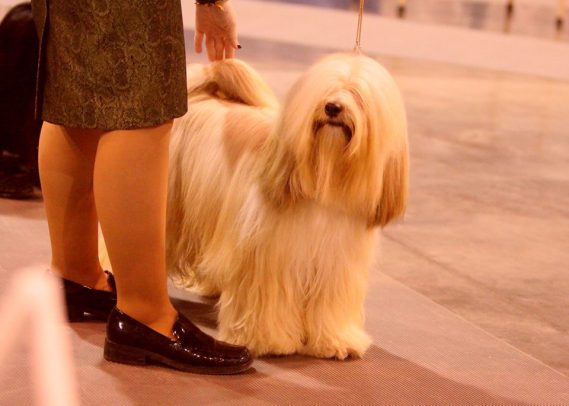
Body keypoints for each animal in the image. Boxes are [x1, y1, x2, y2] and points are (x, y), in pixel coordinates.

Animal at [165, 53, 409, 359]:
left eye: (358, 95)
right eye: (326, 92)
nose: (332, 107)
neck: (326, 183)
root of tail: (202, 96)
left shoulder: (336, 267)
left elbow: (328, 305)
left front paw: (334, 341)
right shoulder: (268, 260)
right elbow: (267, 301)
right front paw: (267, 339)